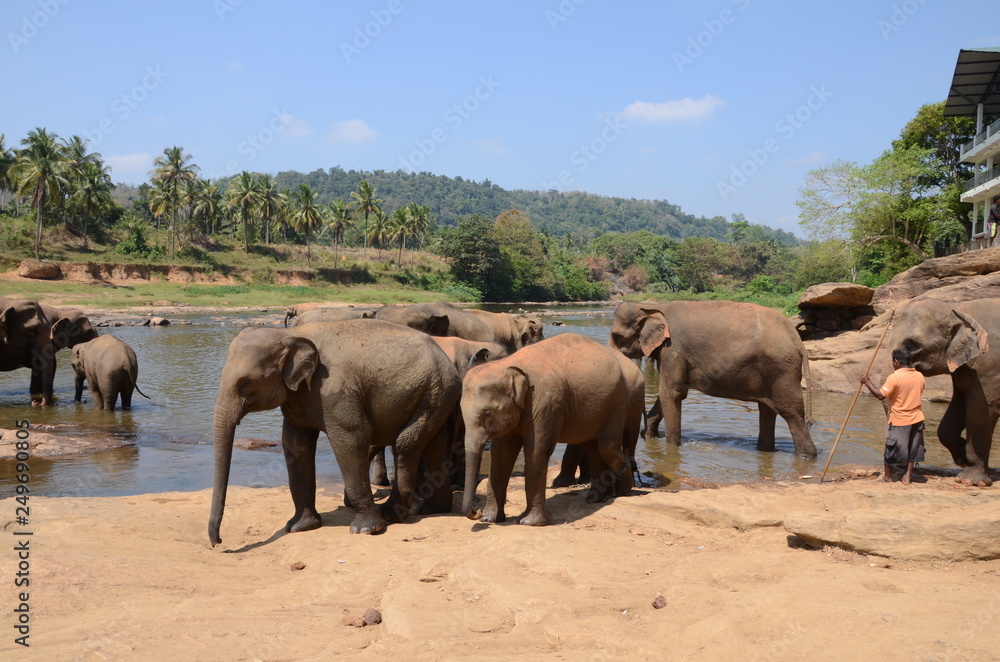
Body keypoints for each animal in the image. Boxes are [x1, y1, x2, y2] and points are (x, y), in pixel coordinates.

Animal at [208, 319, 462, 546]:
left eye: (246, 383)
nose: (218, 542)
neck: (290, 333)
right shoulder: (298, 396)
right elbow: (294, 444)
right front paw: (300, 527)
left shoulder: (334, 389)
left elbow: (351, 440)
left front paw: (365, 530)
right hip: (437, 395)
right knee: (433, 446)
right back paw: (432, 509)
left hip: (433, 391)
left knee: (405, 444)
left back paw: (390, 515)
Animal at [461, 333, 642, 526]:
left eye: (487, 413)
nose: (476, 512)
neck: (509, 365)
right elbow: (501, 453)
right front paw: (490, 518)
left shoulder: (545, 403)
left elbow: (536, 451)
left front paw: (528, 522)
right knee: (594, 446)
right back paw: (596, 498)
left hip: (617, 402)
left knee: (607, 446)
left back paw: (624, 490)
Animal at [609, 301, 816, 458]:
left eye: (617, 336)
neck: (654, 306)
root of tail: (796, 337)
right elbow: (671, 393)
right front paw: (649, 437)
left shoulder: (673, 349)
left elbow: (671, 393)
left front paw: (672, 446)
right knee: (767, 411)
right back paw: (766, 451)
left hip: (782, 371)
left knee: (792, 414)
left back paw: (807, 456)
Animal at [889, 298, 1000, 487]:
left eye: (913, 344)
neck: (958, 308)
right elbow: (956, 409)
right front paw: (962, 457)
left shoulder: (990, 366)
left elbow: (979, 414)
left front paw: (970, 481)